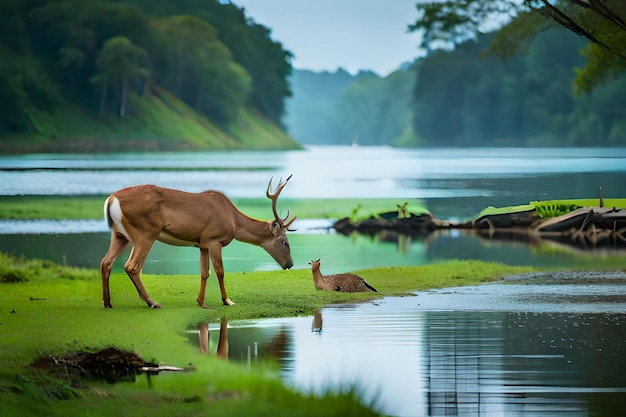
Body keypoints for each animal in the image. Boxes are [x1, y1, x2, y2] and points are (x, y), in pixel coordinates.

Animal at [100, 174, 294, 308]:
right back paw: (152, 302)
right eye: (284, 242)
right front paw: (227, 300)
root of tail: (111, 200)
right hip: (146, 231)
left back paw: (108, 302)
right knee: (132, 266)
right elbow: (220, 271)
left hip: (120, 234)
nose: (290, 264)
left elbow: (204, 273)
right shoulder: (214, 240)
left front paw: (201, 302)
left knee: (106, 262)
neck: (233, 220)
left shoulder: (202, 244)